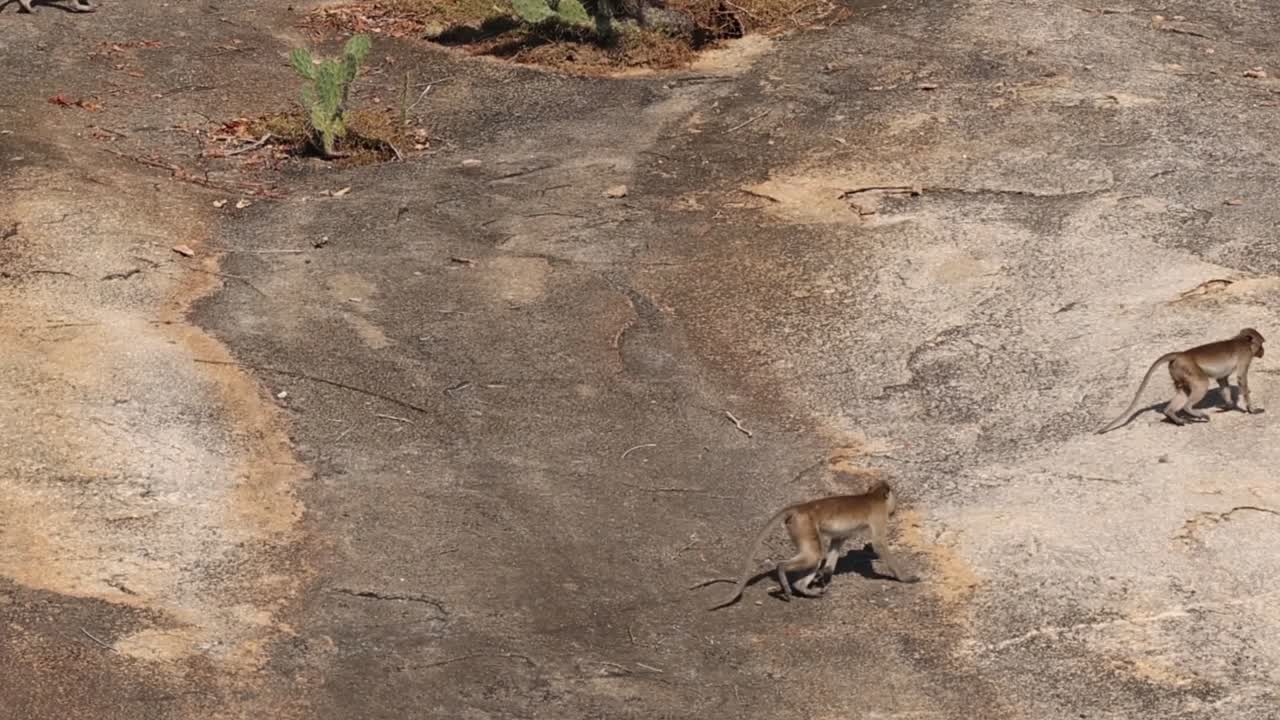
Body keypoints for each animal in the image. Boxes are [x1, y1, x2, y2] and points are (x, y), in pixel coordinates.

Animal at [698, 481, 919, 610]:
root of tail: (800, 507)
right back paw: (784, 574)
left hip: (799, 527)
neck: (871, 496)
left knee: (816, 556)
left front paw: (825, 575)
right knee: (813, 555)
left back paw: (804, 589)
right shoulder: (879, 515)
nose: (895, 509)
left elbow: (837, 543)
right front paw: (906, 578)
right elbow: (880, 544)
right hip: (803, 525)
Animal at [1097, 327, 1265, 434]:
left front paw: (1228, 406)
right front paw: (1251, 409)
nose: (1263, 351)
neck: (1242, 341)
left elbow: (1222, 380)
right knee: (1201, 386)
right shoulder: (1245, 356)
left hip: (1179, 372)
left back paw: (1172, 415)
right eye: (1262, 344)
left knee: (1183, 392)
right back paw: (1192, 411)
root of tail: (1180, 355)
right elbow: (1241, 378)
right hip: (1189, 369)